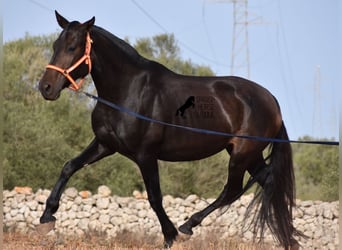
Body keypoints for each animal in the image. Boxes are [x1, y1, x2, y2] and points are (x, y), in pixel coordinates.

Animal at [37, 11, 302, 248]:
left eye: (72, 47)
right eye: (55, 45)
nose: (46, 87)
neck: (128, 91)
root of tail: (272, 100)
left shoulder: (145, 155)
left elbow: (155, 197)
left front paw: (170, 235)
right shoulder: (105, 144)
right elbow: (69, 166)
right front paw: (47, 217)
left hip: (242, 154)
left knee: (233, 189)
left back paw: (187, 226)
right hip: (248, 154)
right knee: (266, 182)